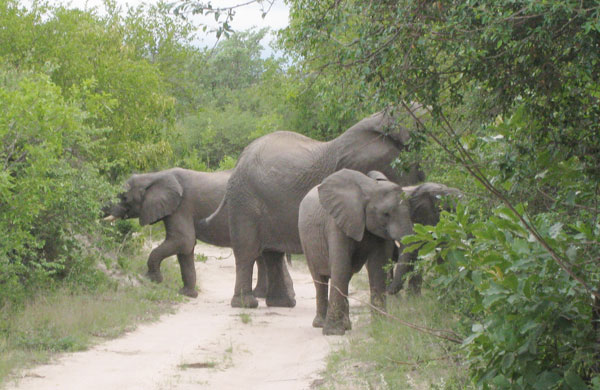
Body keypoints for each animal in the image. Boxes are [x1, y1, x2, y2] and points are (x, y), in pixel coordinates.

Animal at [103, 168, 296, 298]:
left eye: (124, 198)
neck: (155, 175)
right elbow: (185, 249)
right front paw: (187, 294)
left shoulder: (181, 207)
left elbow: (183, 240)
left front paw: (152, 279)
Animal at [203, 108, 426, 310]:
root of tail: (240, 159)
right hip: (245, 199)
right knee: (248, 251)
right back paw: (247, 305)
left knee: (273, 254)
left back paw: (282, 304)